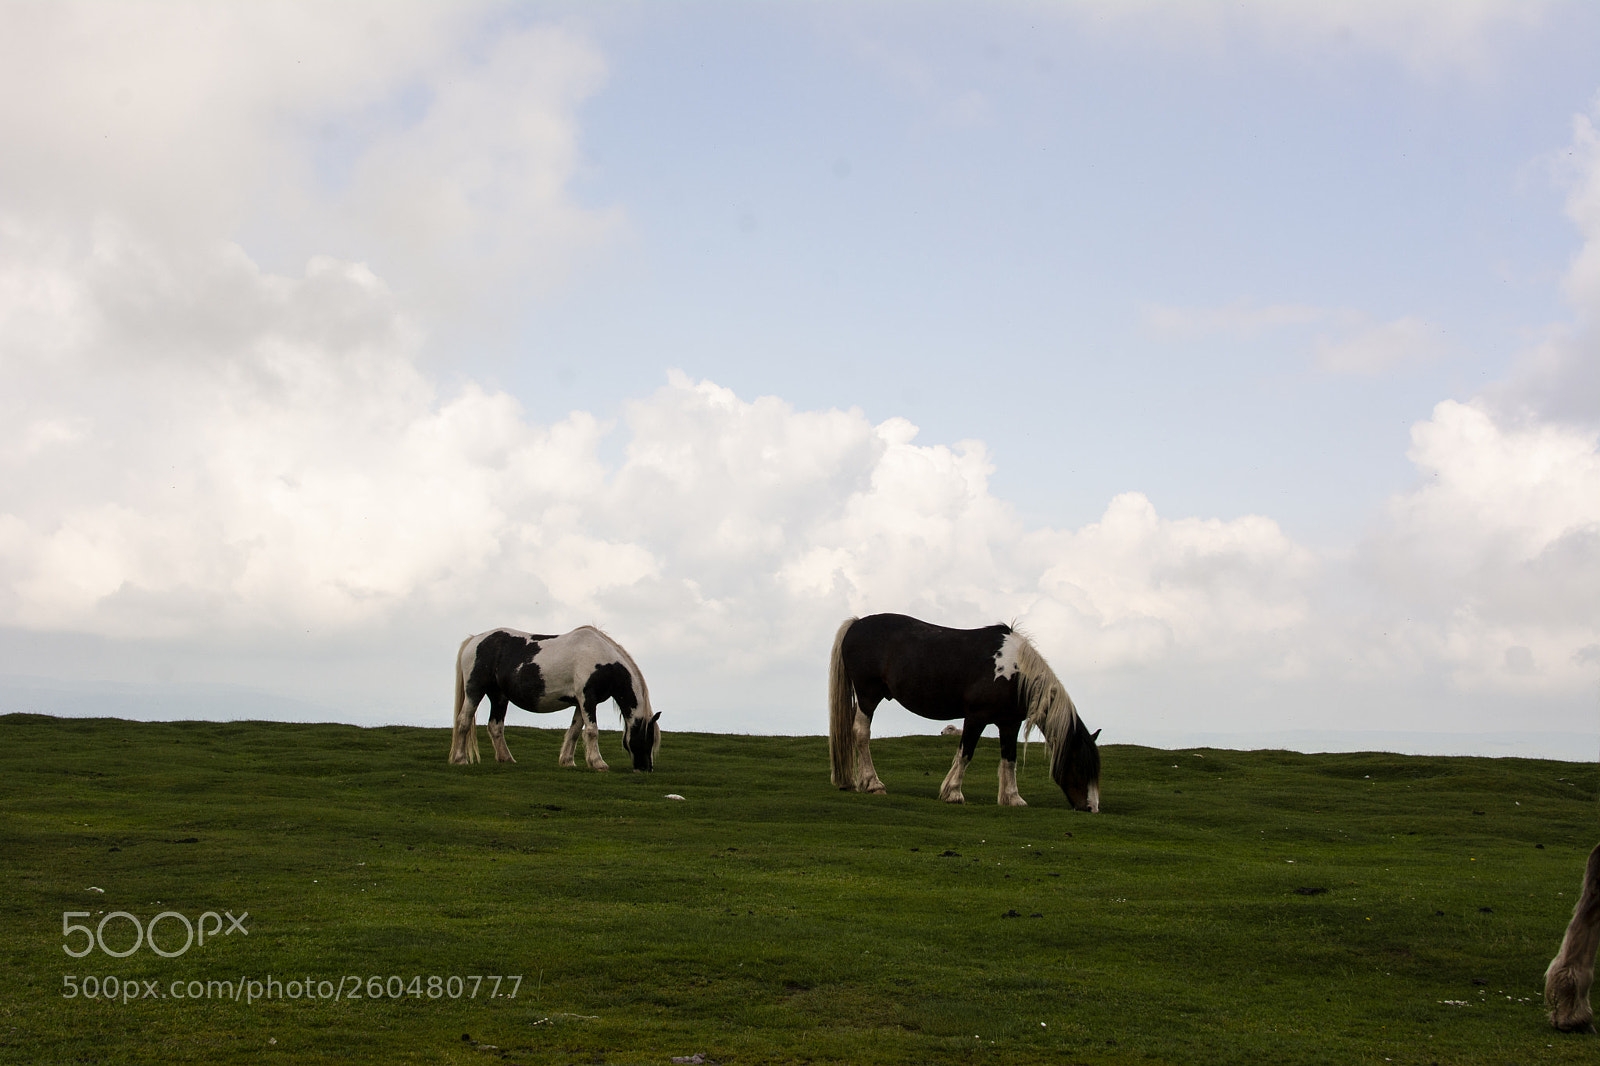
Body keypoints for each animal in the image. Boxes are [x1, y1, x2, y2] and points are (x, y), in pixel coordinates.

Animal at [448, 626, 660, 771]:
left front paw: (567, 761)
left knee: (495, 727)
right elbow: (592, 731)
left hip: (499, 697)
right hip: (475, 691)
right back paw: (460, 759)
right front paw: (598, 763)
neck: (603, 662)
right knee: (463, 722)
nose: (646, 768)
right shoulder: (588, 699)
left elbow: (574, 731)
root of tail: (475, 640)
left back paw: (506, 758)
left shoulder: (580, 703)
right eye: (648, 738)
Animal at [828, 613, 1100, 811]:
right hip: (868, 696)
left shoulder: (1009, 724)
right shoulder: (976, 718)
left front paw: (1013, 798)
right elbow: (965, 753)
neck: (1013, 672)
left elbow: (1009, 760)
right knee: (861, 733)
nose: (1092, 808)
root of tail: (856, 624)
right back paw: (873, 784)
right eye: (1080, 765)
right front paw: (953, 793)